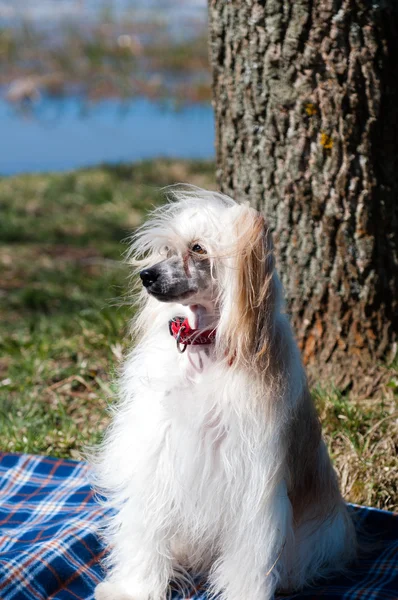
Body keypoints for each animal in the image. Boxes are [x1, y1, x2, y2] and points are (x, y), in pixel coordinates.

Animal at [94, 189, 358, 600]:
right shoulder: (160, 454)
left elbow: (250, 556)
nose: (146, 275)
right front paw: (132, 589)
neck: (205, 349)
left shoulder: (252, 481)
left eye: (198, 248)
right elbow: (145, 530)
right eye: (166, 249)